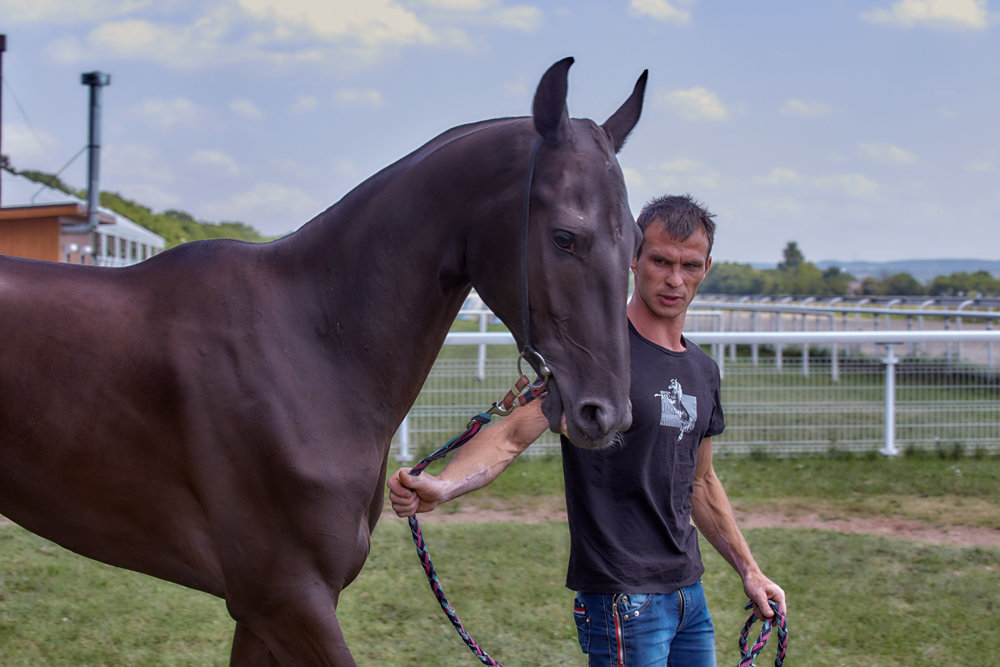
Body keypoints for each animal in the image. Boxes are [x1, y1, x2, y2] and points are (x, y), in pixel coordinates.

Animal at [0, 60, 648, 664]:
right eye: (565, 237)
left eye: (638, 244)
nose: (606, 415)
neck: (310, 343)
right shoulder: (287, 597)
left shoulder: (266, 609)